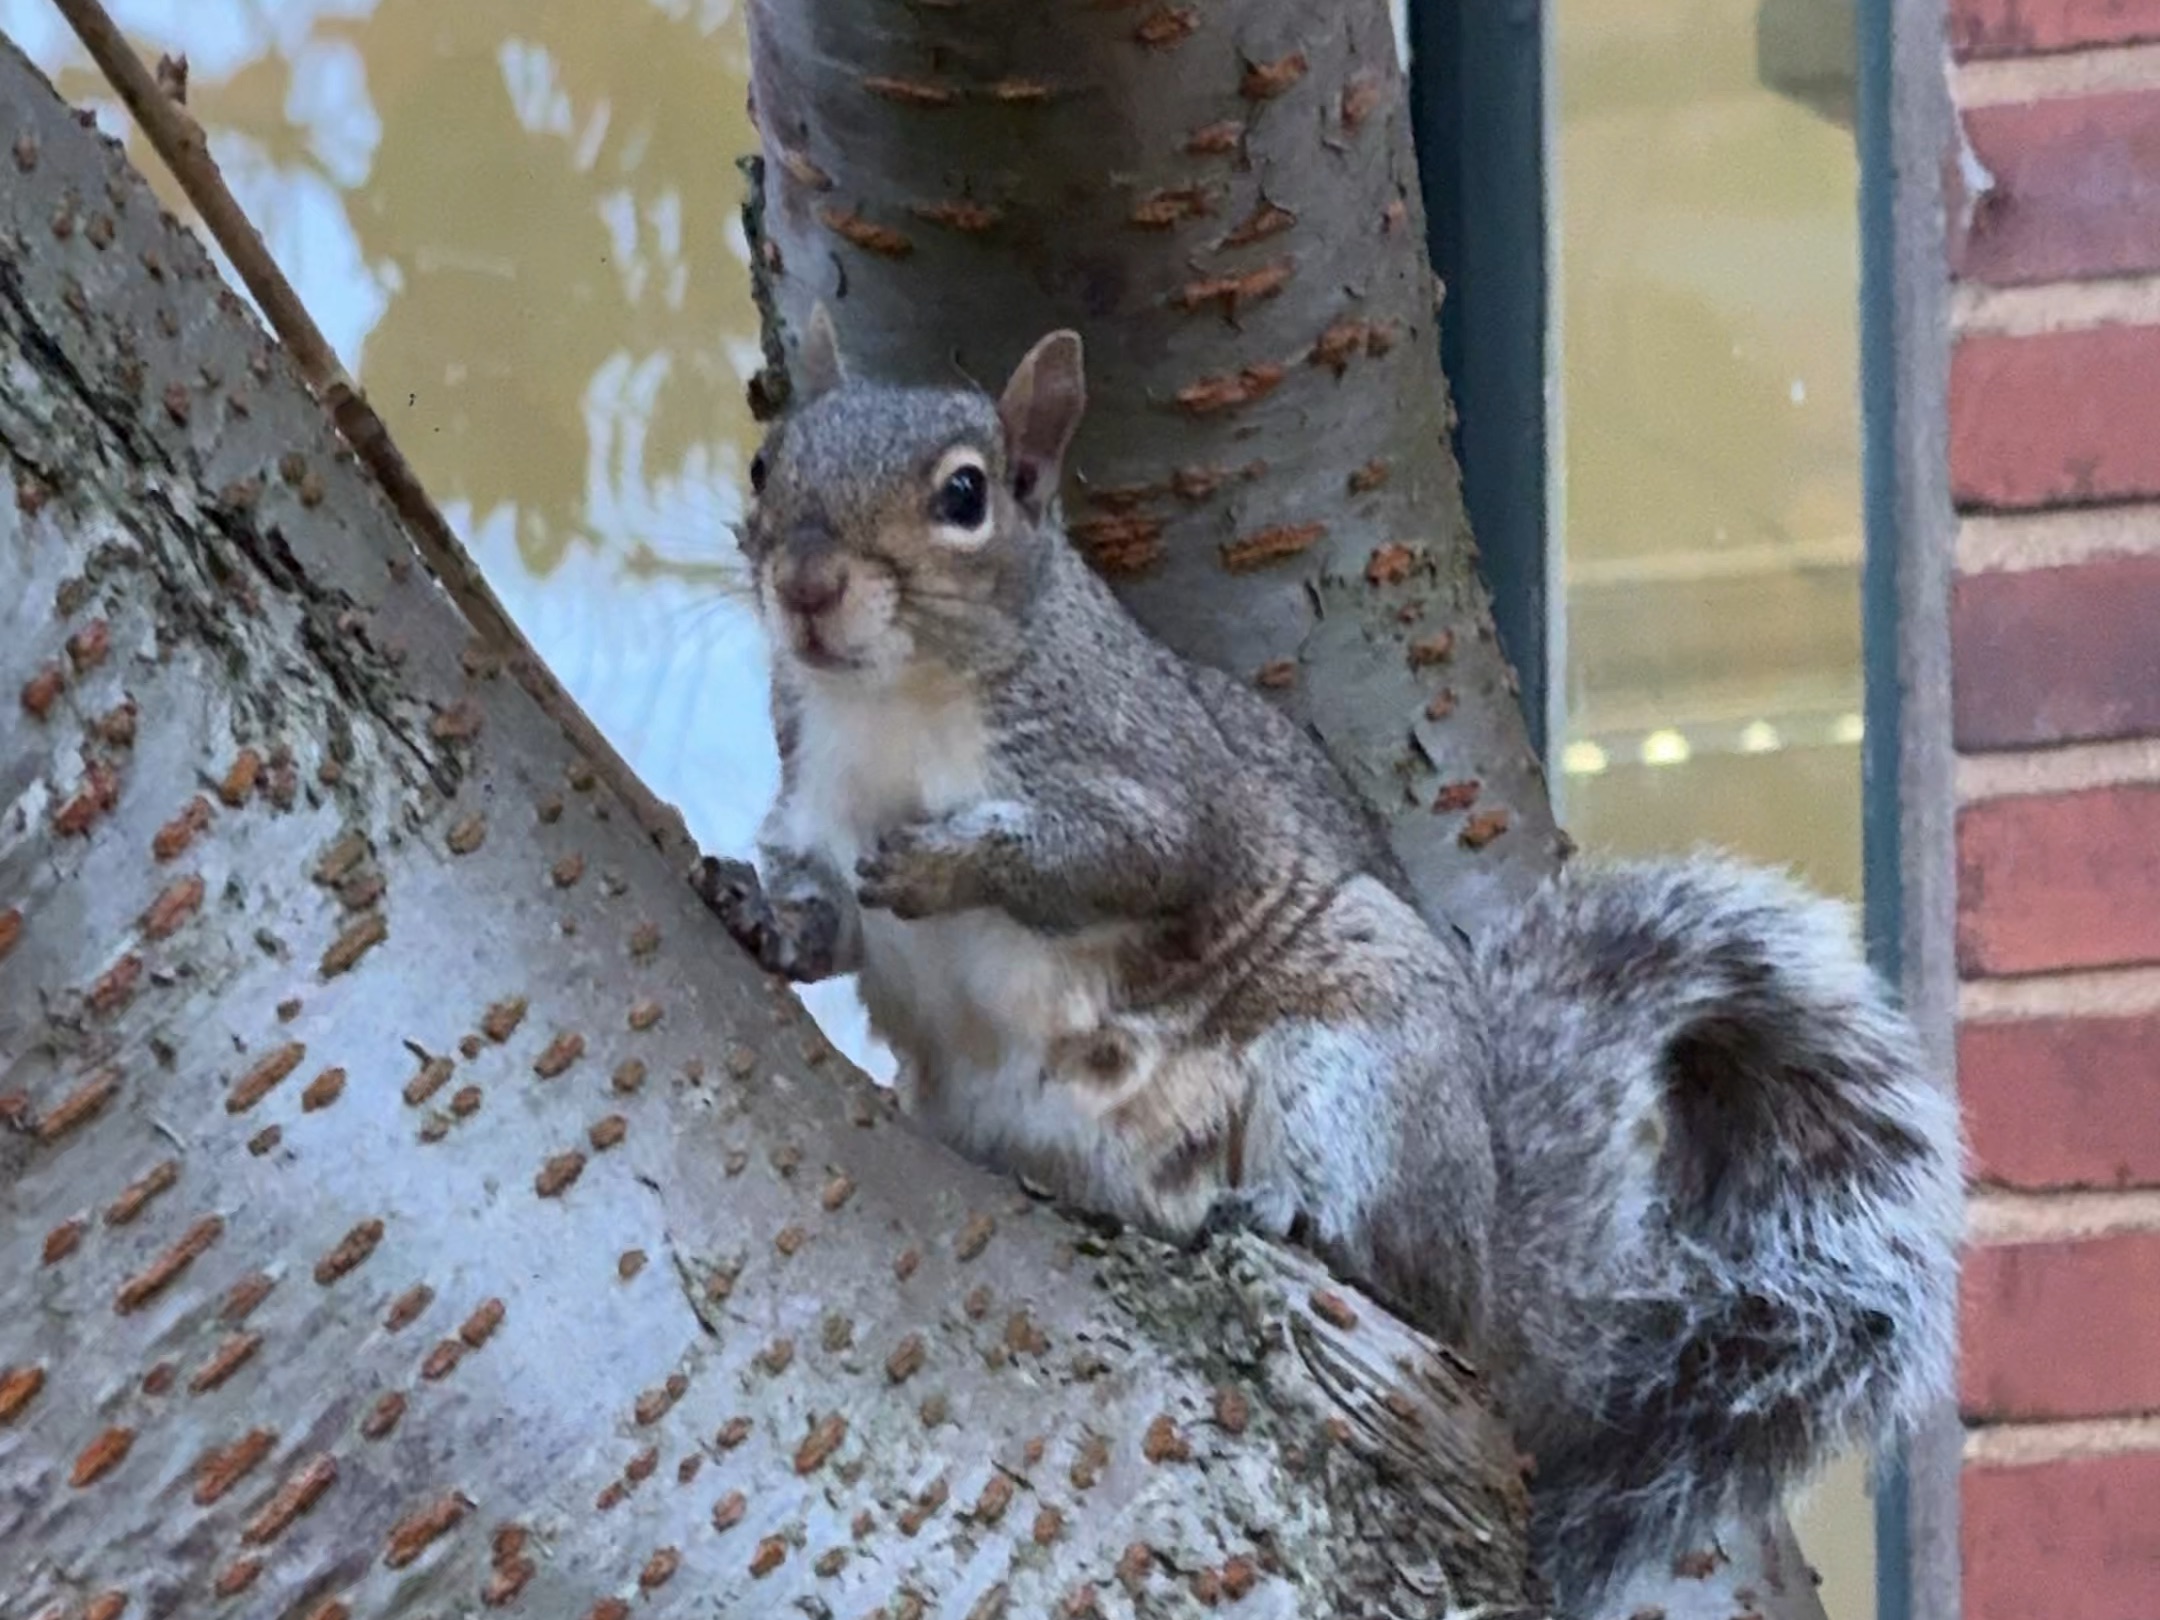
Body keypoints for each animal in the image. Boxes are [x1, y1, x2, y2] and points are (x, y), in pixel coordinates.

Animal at [699, 311, 1969, 1615]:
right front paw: (755, 913)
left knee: (1387, 1257)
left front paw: (948, 865)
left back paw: (1295, 1213)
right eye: (765, 463)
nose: (806, 588)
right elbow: (823, 917)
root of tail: (1488, 1264)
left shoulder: (1151, 786)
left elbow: (1105, 859)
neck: (895, 705)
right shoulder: (815, 807)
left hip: (1361, 1066)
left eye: (965, 495)